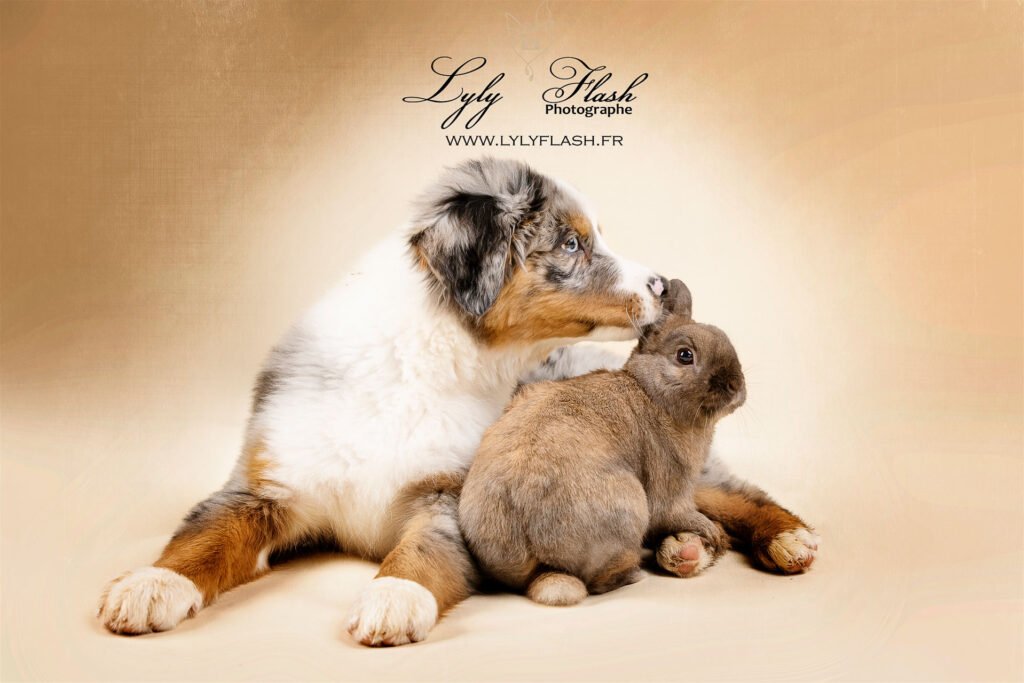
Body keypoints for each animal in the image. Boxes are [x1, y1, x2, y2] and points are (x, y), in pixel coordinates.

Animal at [458, 279, 746, 606]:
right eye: (685, 355)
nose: (735, 386)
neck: (650, 392)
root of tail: (539, 568)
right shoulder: (673, 486)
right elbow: (677, 514)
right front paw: (714, 533)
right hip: (631, 509)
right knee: (601, 580)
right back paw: (634, 574)